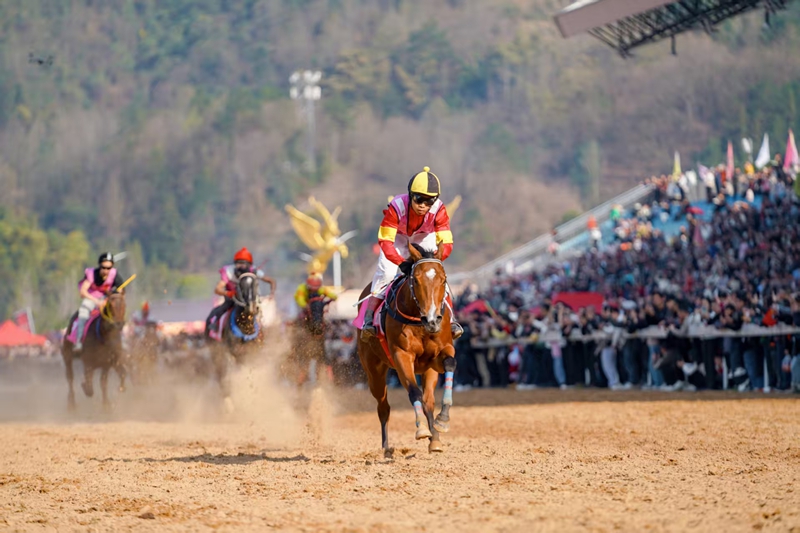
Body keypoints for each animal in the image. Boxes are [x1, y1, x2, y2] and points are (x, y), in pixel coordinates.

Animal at [356, 243, 457, 455]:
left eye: (443, 279)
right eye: (416, 280)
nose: (432, 320)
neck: (419, 322)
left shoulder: (441, 352)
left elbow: (450, 364)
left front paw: (442, 421)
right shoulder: (401, 356)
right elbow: (413, 391)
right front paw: (421, 429)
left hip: (427, 369)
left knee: (428, 401)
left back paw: (435, 440)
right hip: (373, 371)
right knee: (383, 407)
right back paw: (386, 448)